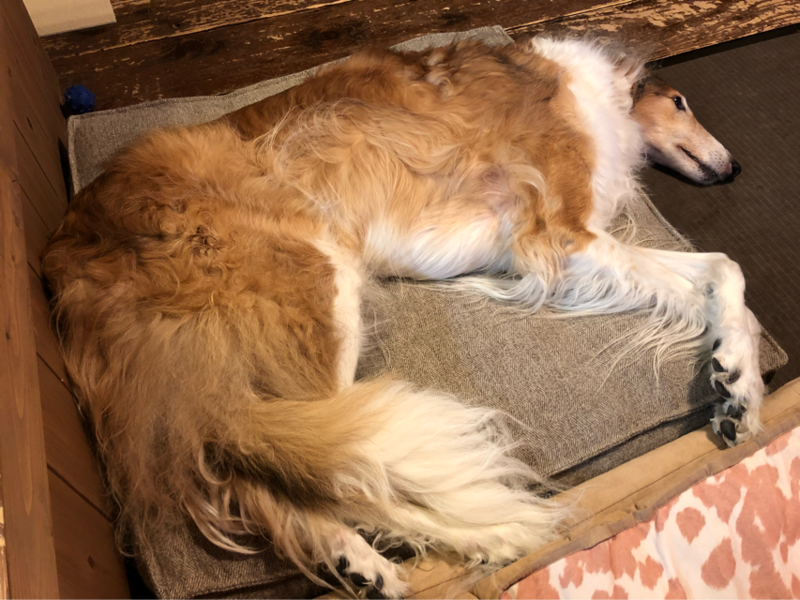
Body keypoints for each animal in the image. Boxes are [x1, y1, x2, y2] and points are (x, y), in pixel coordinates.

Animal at [42, 36, 761, 598]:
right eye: (681, 102)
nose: (735, 167)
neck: (583, 85)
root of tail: (63, 250)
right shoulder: (559, 237)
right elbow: (728, 264)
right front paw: (738, 379)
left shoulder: (553, 252)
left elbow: (723, 275)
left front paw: (738, 384)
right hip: (318, 279)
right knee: (337, 465)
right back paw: (496, 530)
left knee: (283, 479)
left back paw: (376, 560)